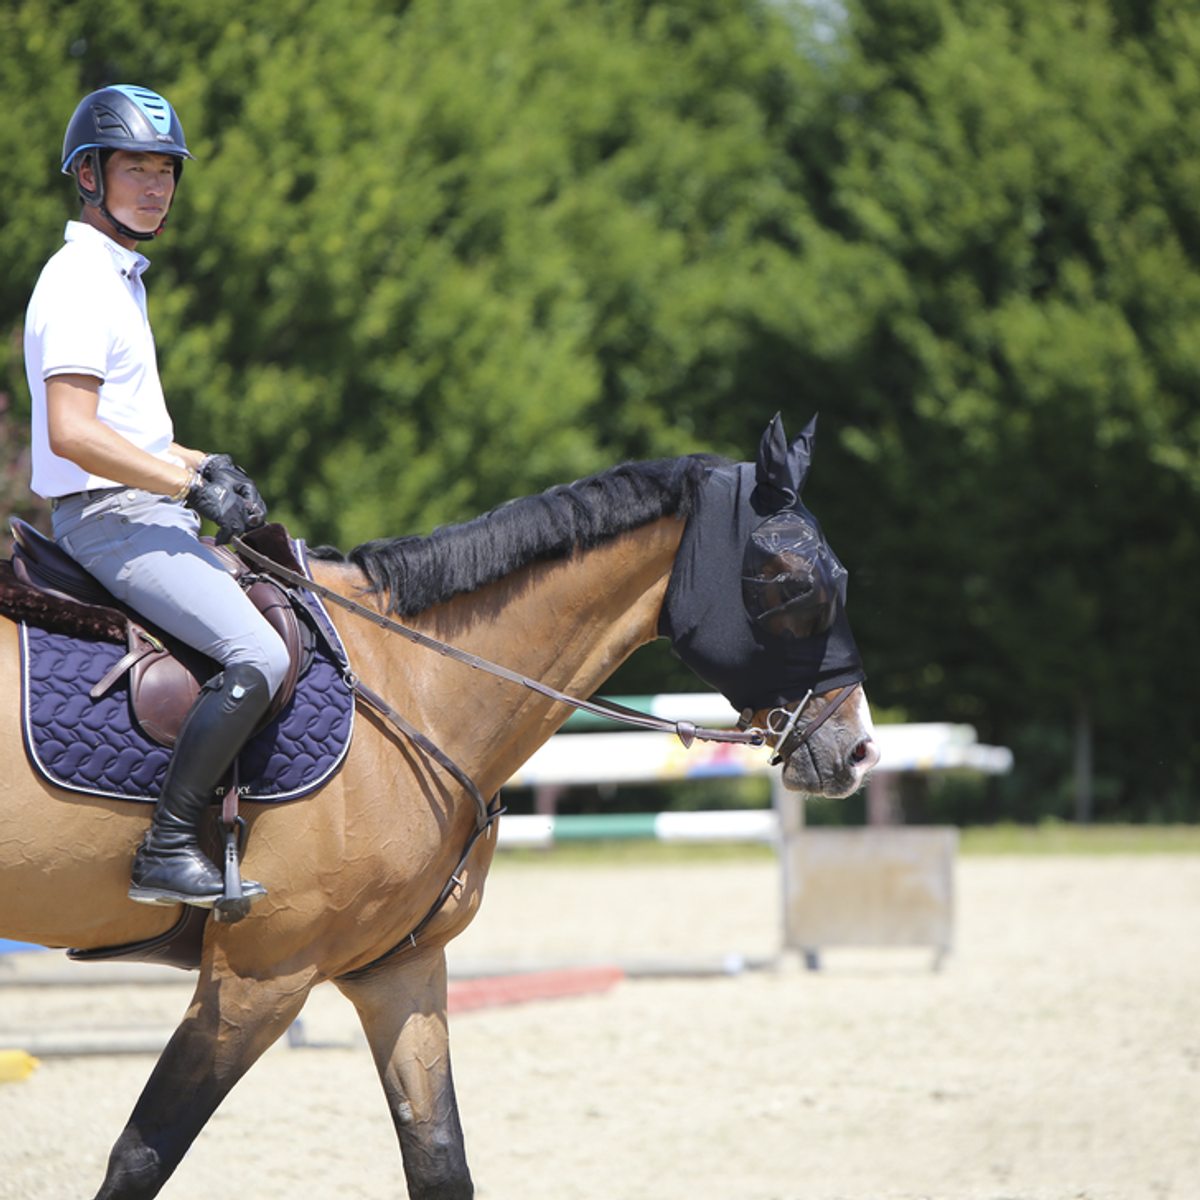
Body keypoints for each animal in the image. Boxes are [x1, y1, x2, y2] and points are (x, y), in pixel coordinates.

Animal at [0, 415, 878, 1200]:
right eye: (797, 582)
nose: (859, 751)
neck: (414, 679)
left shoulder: (400, 971)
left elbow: (439, 1163)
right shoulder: (257, 978)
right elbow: (140, 1159)